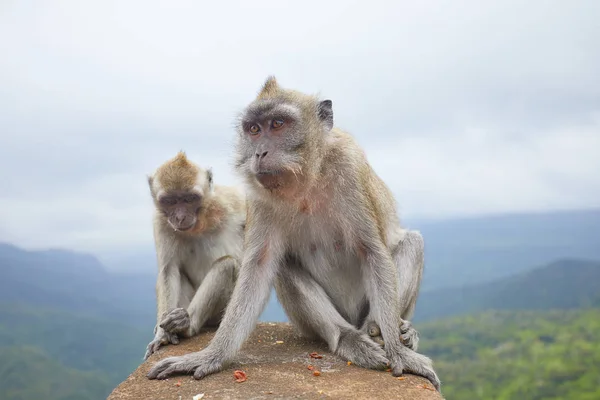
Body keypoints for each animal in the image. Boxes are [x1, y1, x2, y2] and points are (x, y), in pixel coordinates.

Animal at [142, 152, 245, 360]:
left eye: (190, 198)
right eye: (170, 201)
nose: (180, 217)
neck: (201, 221)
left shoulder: (233, 200)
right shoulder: (161, 222)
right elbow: (169, 270)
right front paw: (162, 335)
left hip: (219, 313)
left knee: (227, 265)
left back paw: (187, 324)